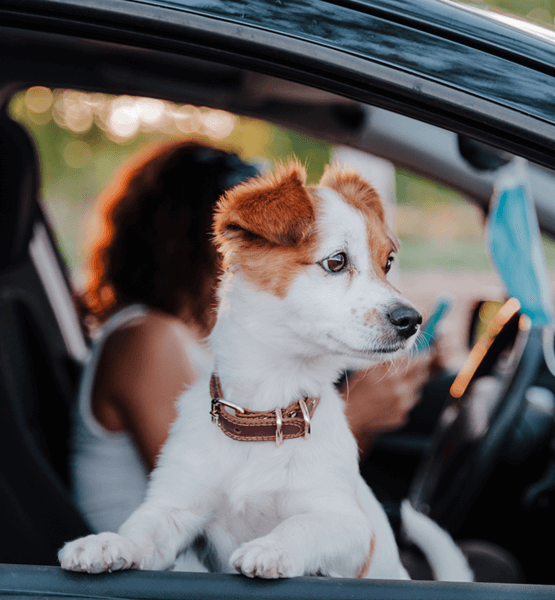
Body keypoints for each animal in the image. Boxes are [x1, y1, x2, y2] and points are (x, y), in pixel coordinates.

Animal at [58, 161, 472, 580]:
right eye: (336, 261)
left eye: (387, 263)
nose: (412, 320)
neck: (265, 412)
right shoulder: (175, 506)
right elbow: (141, 530)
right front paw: (107, 542)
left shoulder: (352, 527)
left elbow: (302, 524)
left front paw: (272, 548)